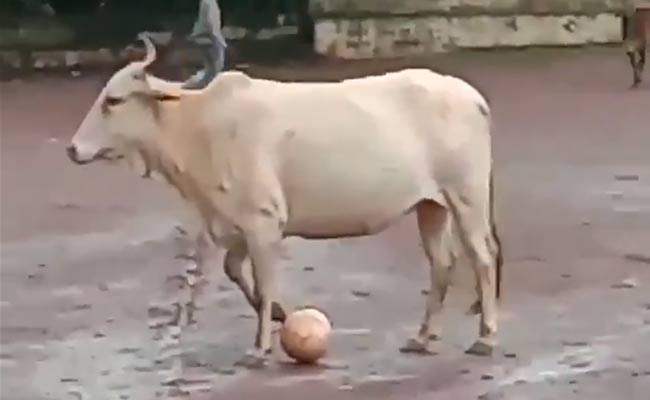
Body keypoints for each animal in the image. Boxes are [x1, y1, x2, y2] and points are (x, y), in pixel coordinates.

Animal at [66, 34, 503, 368]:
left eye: (114, 100)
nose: (73, 149)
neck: (197, 125)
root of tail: (471, 96)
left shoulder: (262, 221)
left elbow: (263, 280)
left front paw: (259, 348)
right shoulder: (237, 224)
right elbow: (236, 271)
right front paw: (280, 313)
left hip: (466, 197)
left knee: (482, 257)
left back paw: (485, 338)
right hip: (431, 206)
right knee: (442, 263)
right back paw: (423, 337)